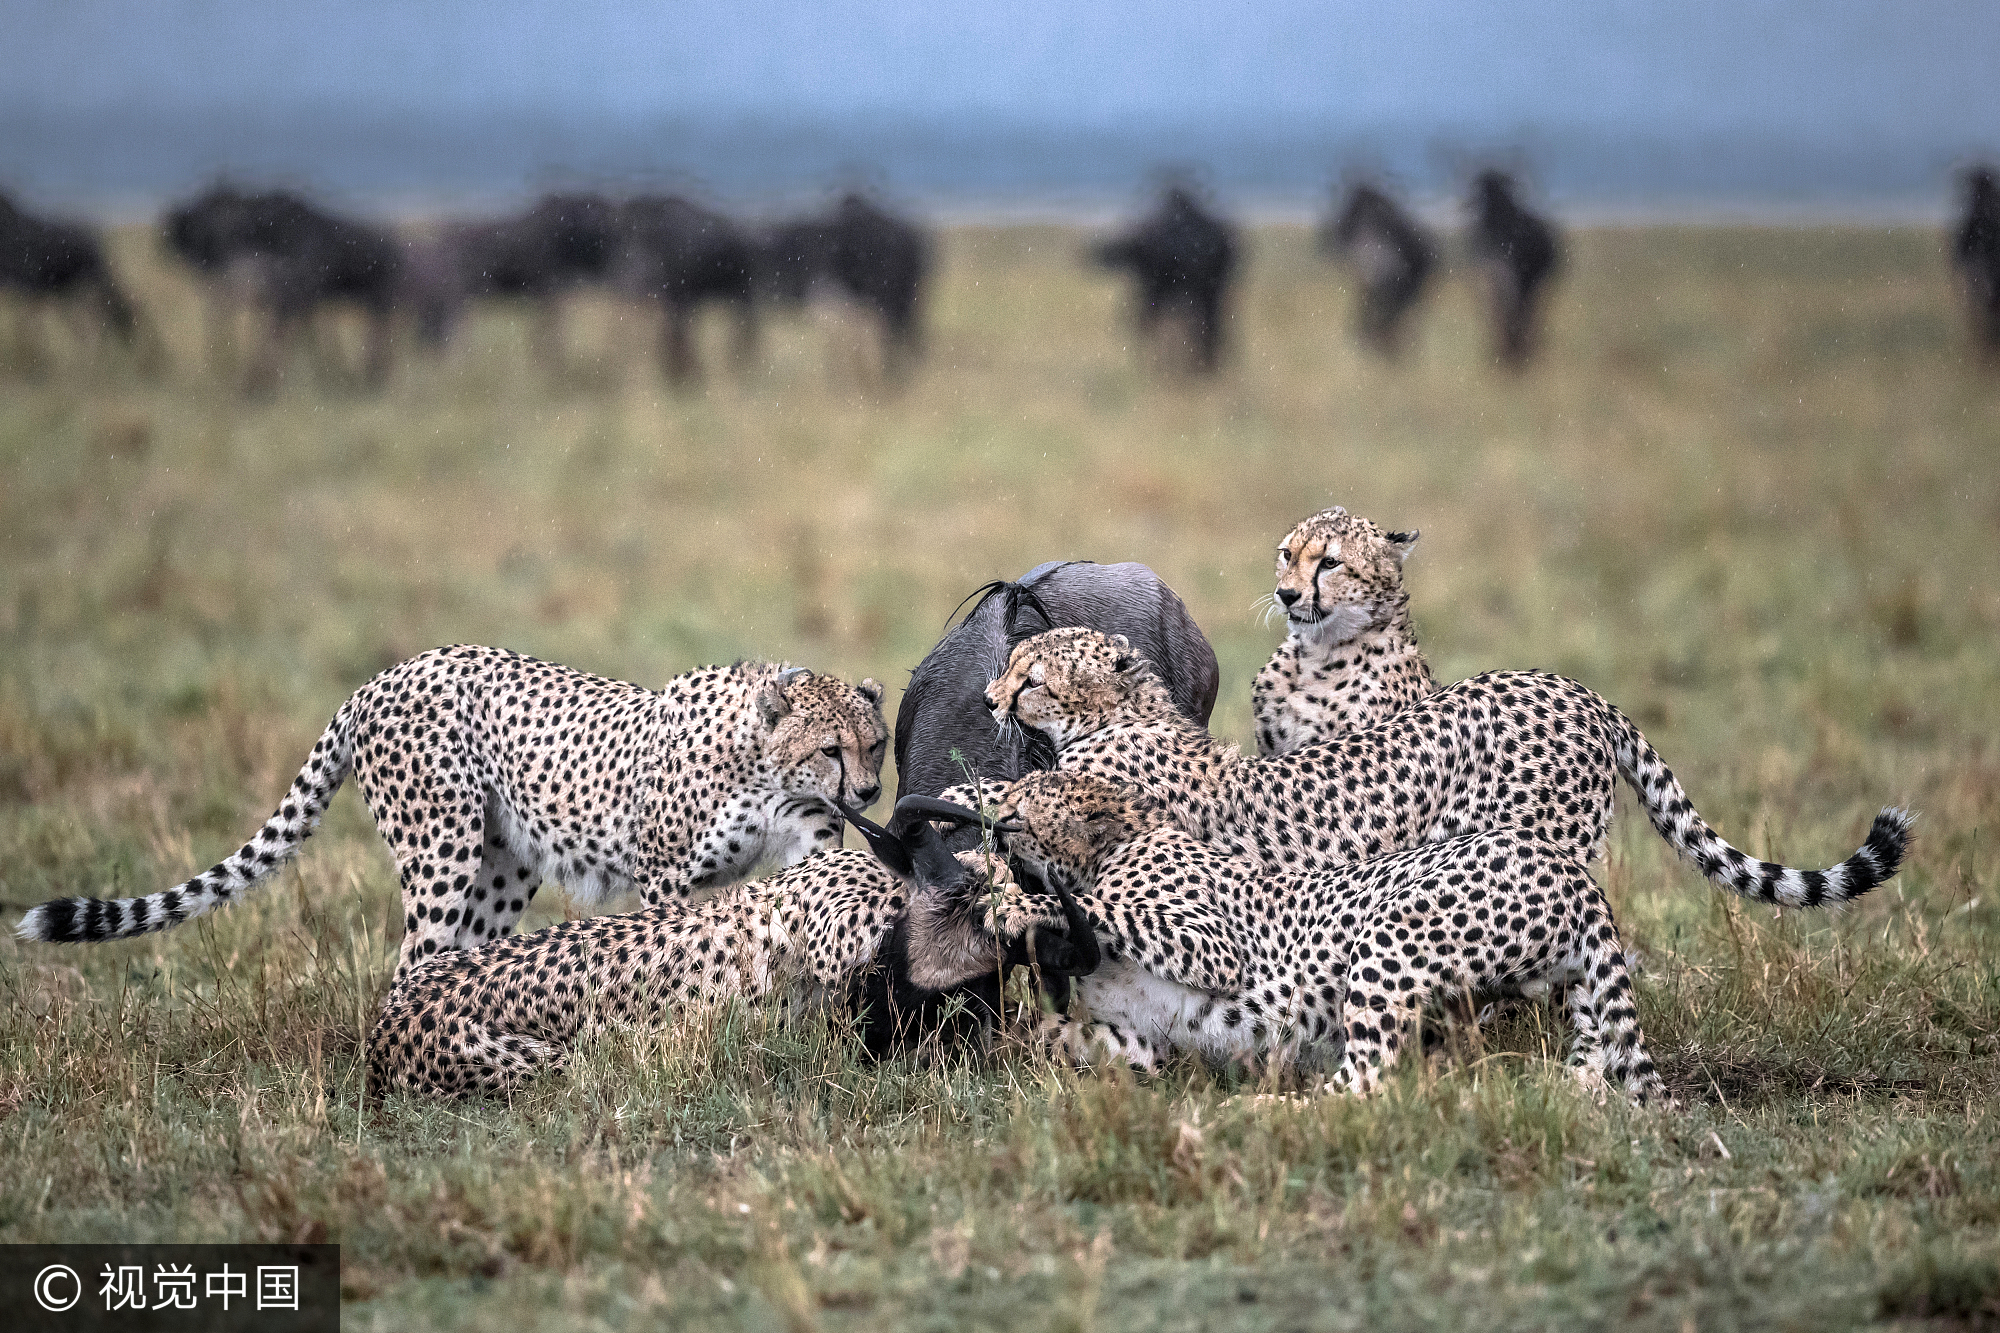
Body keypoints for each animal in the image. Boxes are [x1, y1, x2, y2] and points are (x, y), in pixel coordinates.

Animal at [17, 644, 892, 984]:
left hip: (501, 870)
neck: (764, 762)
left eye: (875, 744)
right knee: (410, 960)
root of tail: (385, 674)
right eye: (831, 749)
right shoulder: (667, 873)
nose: (868, 794)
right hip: (440, 848)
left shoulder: (809, 839)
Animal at [988, 768, 1672, 1096]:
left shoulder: (1218, 951)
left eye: (1028, 801)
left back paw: (1266, 1111)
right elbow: (1057, 1036)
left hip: (1389, 935)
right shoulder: (1140, 1045)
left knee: (1366, 1080)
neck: (1112, 846)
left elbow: (1105, 908)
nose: (996, 817)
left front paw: (1011, 903)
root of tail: (1567, 868)